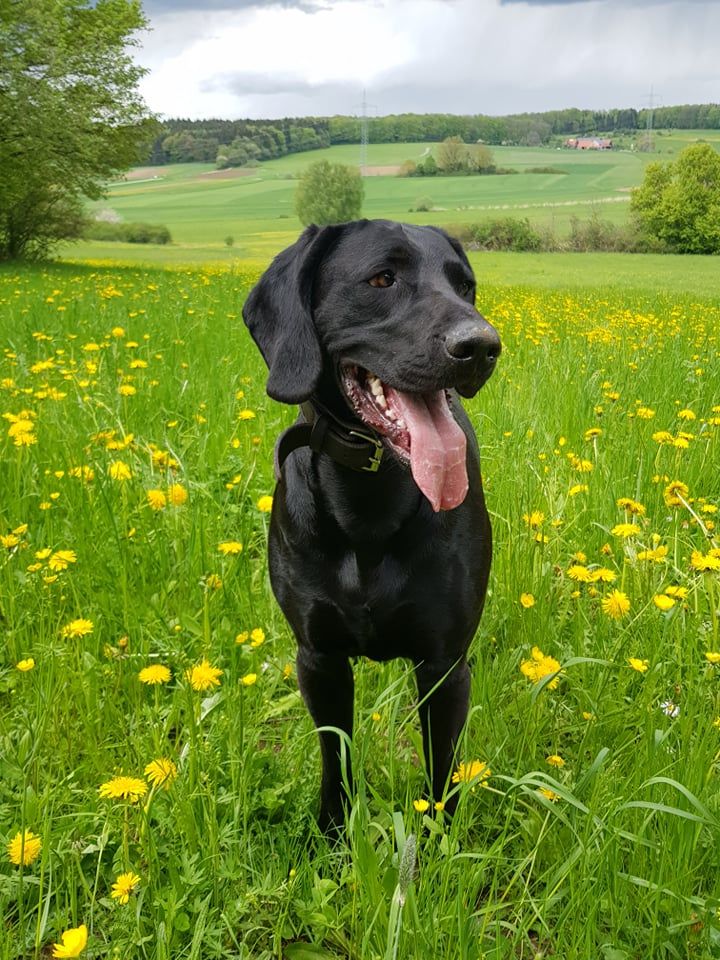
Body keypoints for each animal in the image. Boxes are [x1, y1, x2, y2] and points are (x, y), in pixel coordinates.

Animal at [242, 219, 500, 832]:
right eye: (382, 279)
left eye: (466, 286)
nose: (482, 345)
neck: (370, 502)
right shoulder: (318, 659)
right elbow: (335, 757)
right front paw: (333, 834)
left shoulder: (443, 665)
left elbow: (442, 772)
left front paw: (439, 844)